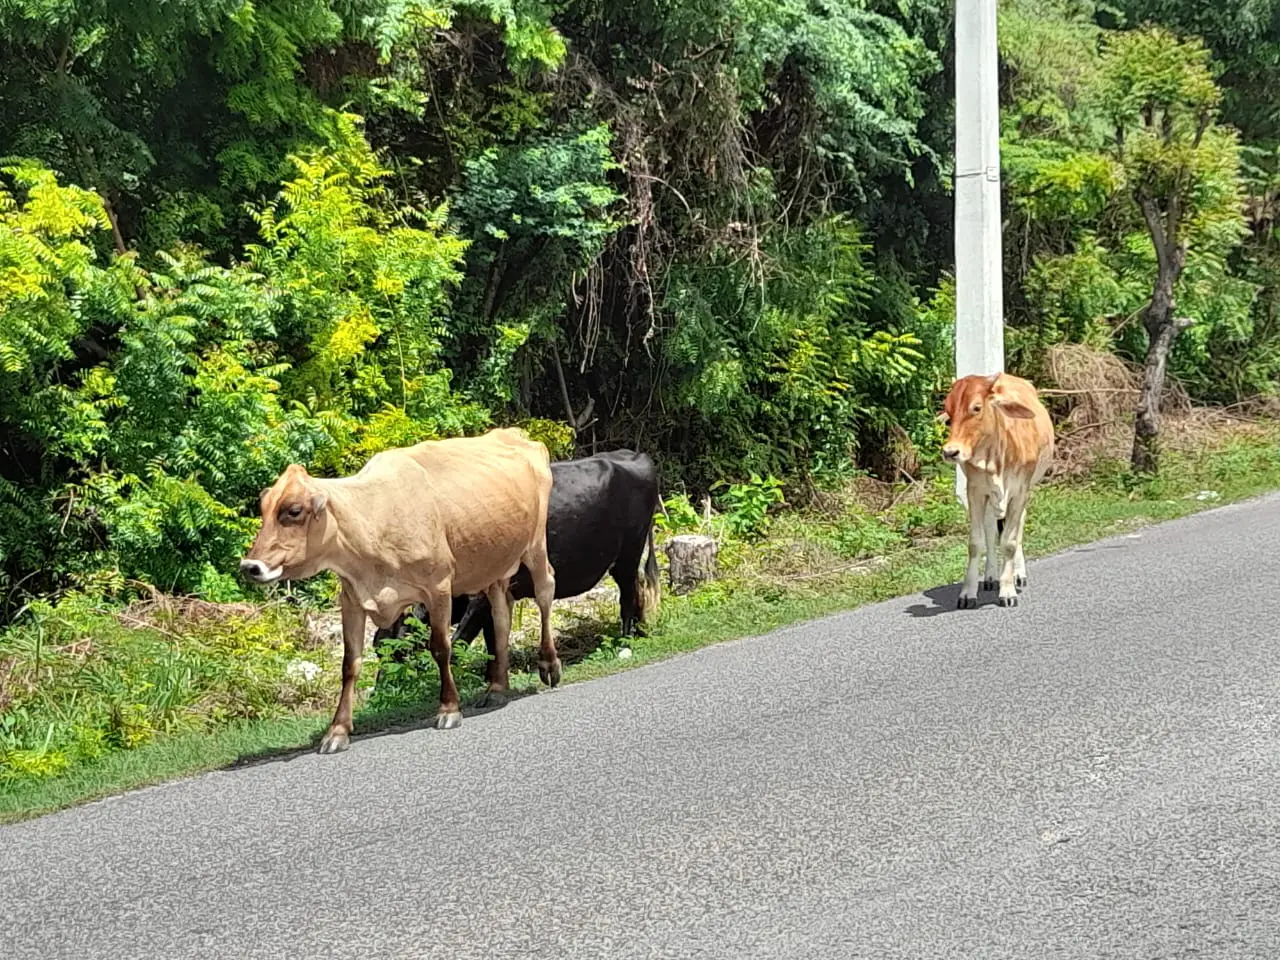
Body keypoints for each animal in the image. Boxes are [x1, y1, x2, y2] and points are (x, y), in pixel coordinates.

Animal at [239, 432, 555, 757]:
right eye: (264, 510)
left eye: (293, 511)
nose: (250, 566)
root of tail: (513, 434)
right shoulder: (352, 599)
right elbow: (350, 664)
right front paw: (337, 731)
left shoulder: (439, 587)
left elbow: (441, 648)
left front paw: (449, 709)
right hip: (495, 565)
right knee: (501, 615)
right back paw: (497, 687)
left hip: (535, 546)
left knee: (545, 591)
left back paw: (548, 664)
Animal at [373, 450, 660, 675]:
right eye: (377, 648)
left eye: (396, 647)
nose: (381, 688)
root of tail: (634, 455)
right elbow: (492, 639)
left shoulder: (480, 597)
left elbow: (461, 640)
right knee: (637, 591)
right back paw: (640, 632)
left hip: (628, 554)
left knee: (627, 597)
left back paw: (625, 641)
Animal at [942, 373, 1049, 609]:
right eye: (948, 414)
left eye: (976, 408)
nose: (950, 451)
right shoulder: (975, 491)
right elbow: (975, 543)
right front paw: (967, 593)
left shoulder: (1020, 492)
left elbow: (1009, 542)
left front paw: (1008, 591)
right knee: (991, 531)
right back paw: (991, 576)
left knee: (1017, 530)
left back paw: (1018, 574)